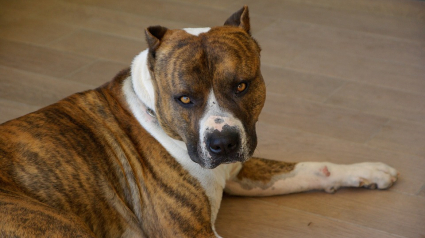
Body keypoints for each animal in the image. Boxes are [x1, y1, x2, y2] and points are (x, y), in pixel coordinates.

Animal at [0, 6, 398, 238]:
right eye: (184, 98)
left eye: (241, 85)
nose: (222, 144)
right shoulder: (190, 233)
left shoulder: (242, 172)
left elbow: (312, 168)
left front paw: (367, 171)